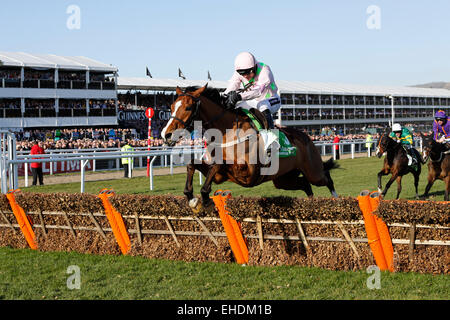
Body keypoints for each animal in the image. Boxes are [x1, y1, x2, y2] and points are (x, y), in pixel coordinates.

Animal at [161, 84, 338, 212]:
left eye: (188, 108)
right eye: (171, 107)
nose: (166, 134)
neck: (227, 131)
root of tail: (306, 137)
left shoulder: (248, 172)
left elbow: (219, 164)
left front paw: (204, 199)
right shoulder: (220, 177)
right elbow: (193, 163)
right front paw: (191, 197)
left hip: (313, 171)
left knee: (326, 176)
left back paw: (335, 198)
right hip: (283, 179)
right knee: (305, 184)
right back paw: (312, 204)